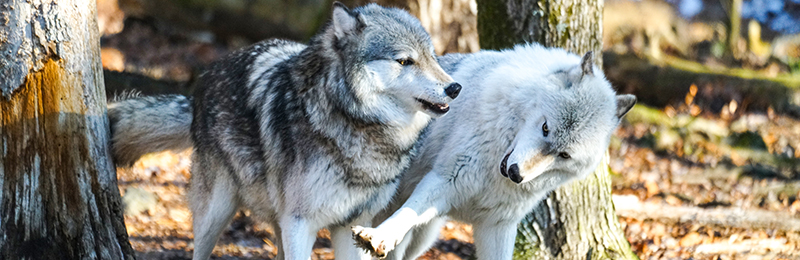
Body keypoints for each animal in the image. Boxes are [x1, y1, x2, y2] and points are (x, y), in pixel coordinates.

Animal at [110, 2, 466, 260]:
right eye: (405, 61)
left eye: (432, 57)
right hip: (216, 212)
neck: (355, 123)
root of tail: (203, 81)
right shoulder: (300, 223)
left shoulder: (351, 225)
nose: (455, 88)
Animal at [354, 43, 636, 258]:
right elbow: (407, 213)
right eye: (545, 128)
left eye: (564, 155)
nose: (516, 174)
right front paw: (379, 237)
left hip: (423, 238)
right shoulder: (445, 180)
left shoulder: (498, 225)